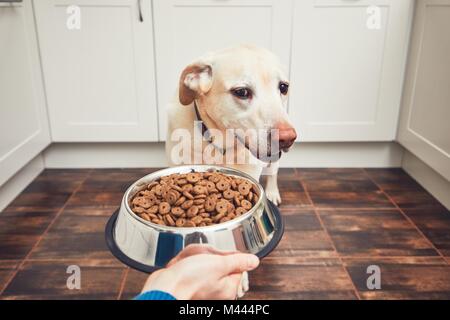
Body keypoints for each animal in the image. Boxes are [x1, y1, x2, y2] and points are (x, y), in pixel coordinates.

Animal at [165, 44, 296, 205]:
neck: (220, 145)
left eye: (284, 87)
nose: (288, 138)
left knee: (273, 172)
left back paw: (272, 192)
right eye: (242, 92)